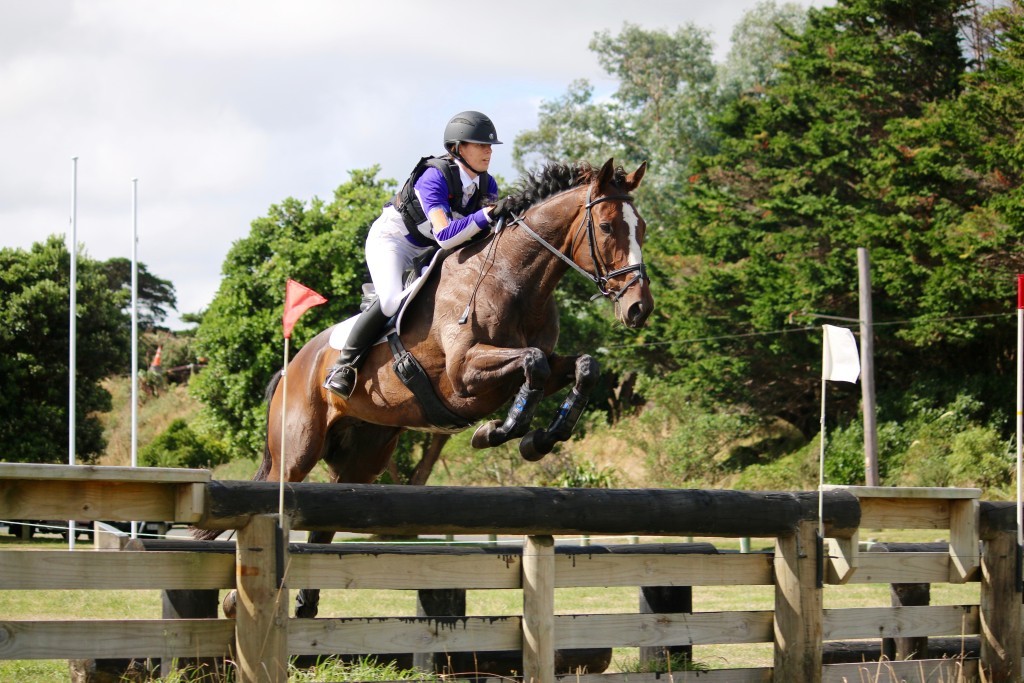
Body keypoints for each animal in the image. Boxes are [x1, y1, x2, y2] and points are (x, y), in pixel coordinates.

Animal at [195, 157, 651, 618]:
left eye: (643, 228)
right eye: (607, 226)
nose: (639, 308)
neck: (513, 277)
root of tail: (291, 368)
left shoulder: (536, 362)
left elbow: (583, 366)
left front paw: (539, 440)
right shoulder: (465, 372)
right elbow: (533, 365)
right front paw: (496, 432)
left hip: (364, 456)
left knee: (328, 512)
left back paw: (305, 602)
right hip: (297, 450)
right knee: (274, 494)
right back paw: (238, 600)